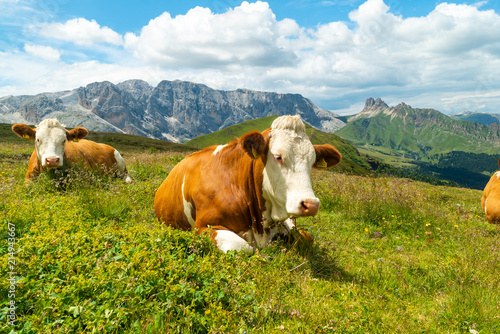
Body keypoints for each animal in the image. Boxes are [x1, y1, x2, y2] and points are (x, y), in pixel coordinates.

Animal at [155, 115, 344, 253]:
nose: (311, 204)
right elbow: (243, 247)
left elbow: (305, 237)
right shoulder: (204, 226)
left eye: (312, 161)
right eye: (278, 156)